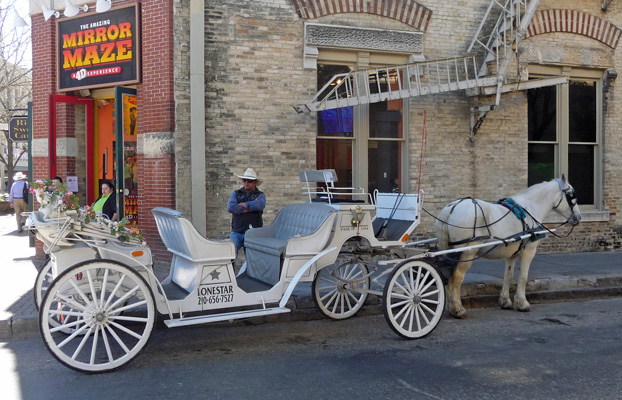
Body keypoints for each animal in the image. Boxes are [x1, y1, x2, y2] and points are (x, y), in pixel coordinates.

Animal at [436, 175, 584, 318]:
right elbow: (523, 277)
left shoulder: (511, 253)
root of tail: (451, 208)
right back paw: (457, 309)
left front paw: (505, 301)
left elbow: (509, 275)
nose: (578, 217)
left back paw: (451, 307)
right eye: (572, 195)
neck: (529, 208)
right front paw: (522, 303)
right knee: (456, 277)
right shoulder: (529, 251)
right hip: (467, 252)